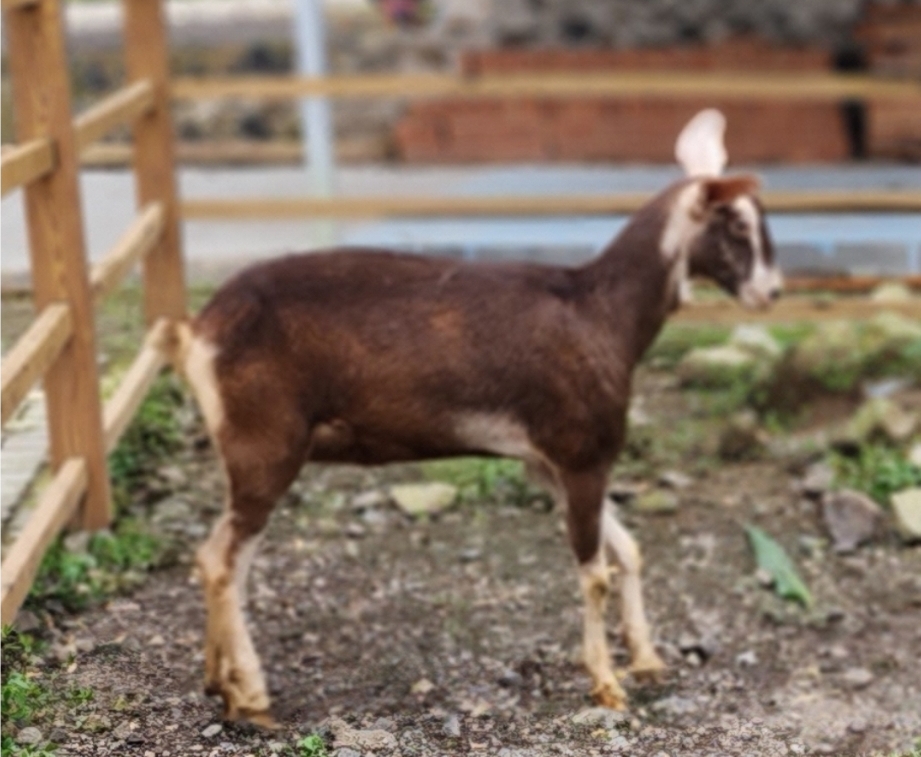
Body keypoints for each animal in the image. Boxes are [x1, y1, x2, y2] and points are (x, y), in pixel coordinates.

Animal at [173, 109, 783, 727]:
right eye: (736, 224)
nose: (772, 292)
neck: (600, 312)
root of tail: (199, 328)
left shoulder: (548, 465)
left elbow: (627, 550)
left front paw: (648, 659)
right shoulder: (583, 455)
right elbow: (595, 576)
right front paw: (607, 684)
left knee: (212, 558)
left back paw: (217, 681)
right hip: (263, 448)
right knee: (222, 561)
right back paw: (250, 697)